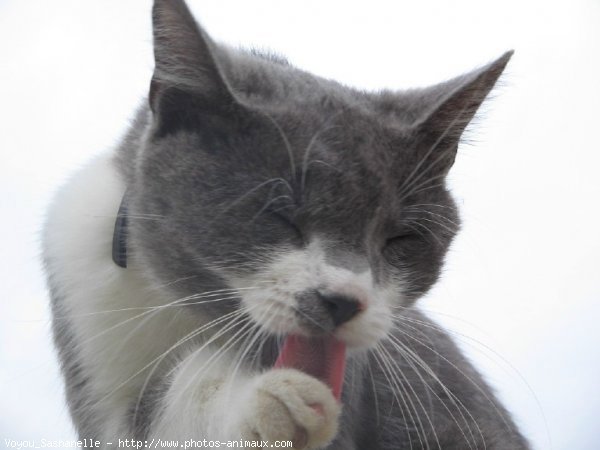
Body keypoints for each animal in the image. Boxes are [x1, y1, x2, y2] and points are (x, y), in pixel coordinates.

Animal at [42, 0, 528, 450]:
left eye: (400, 239)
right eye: (277, 214)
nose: (343, 300)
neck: (183, 308)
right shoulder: (84, 304)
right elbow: (142, 423)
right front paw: (269, 401)